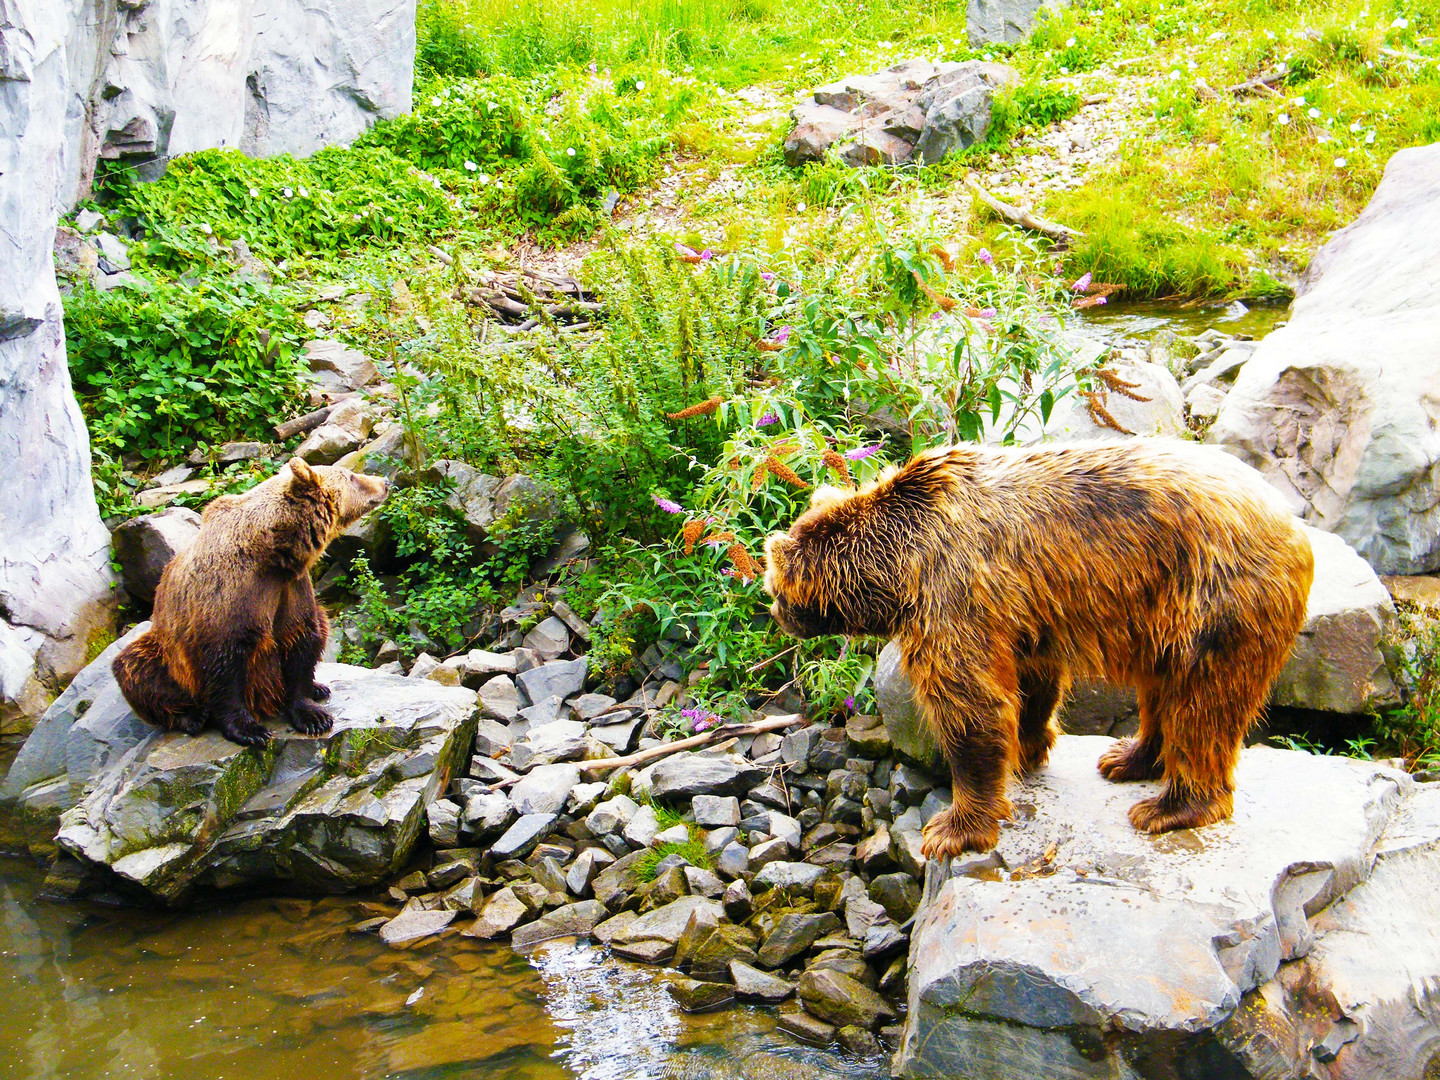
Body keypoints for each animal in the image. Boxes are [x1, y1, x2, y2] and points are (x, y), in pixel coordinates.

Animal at [114, 460, 388, 748]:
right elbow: (224, 666)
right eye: (351, 475)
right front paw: (249, 729)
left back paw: (318, 687)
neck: (272, 553)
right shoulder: (231, 599)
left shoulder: (290, 590)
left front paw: (312, 715)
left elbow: (302, 639)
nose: (385, 481)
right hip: (167, 652)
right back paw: (190, 717)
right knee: (137, 668)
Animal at [766, 440, 1319, 864]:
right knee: (1163, 689)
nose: (774, 611)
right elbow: (1030, 681)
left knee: (1203, 704)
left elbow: (972, 704)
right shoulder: (1023, 611)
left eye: (775, 587)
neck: (899, 562)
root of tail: (1293, 525)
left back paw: (1170, 807)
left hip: (1217, 598)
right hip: (1165, 612)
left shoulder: (953, 593)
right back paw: (1127, 757)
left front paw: (952, 827)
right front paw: (1030, 748)